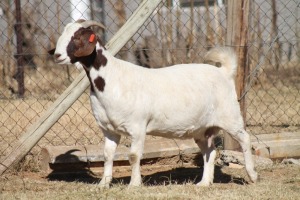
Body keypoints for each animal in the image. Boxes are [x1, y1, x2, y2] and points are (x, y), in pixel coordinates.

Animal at [49, 19, 258, 187]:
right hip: (202, 128)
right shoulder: (108, 129)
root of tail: (224, 72)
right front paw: (103, 184)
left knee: (245, 139)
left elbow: (133, 156)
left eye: (77, 37)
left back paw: (252, 176)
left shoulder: (137, 126)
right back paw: (204, 183)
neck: (111, 78)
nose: (57, 55)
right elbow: (107, 154)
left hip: (230, 116)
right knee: (210, 151)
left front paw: (134, 184)